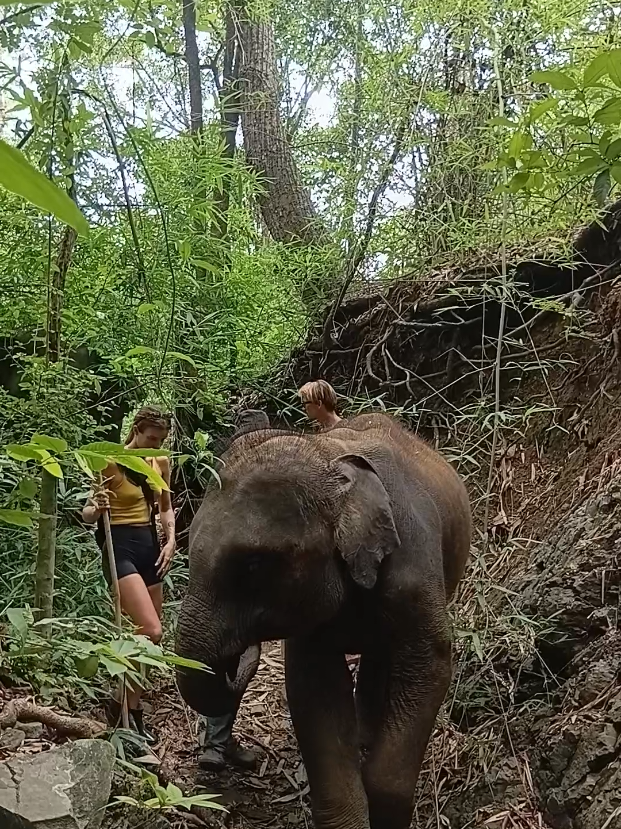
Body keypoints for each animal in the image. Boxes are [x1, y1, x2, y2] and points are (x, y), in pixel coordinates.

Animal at [176, 412, 471, 829]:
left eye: (253, 565)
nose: (241, 651)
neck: (329, 456)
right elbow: (315, 687)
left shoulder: (416, 564)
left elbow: (430, 666)